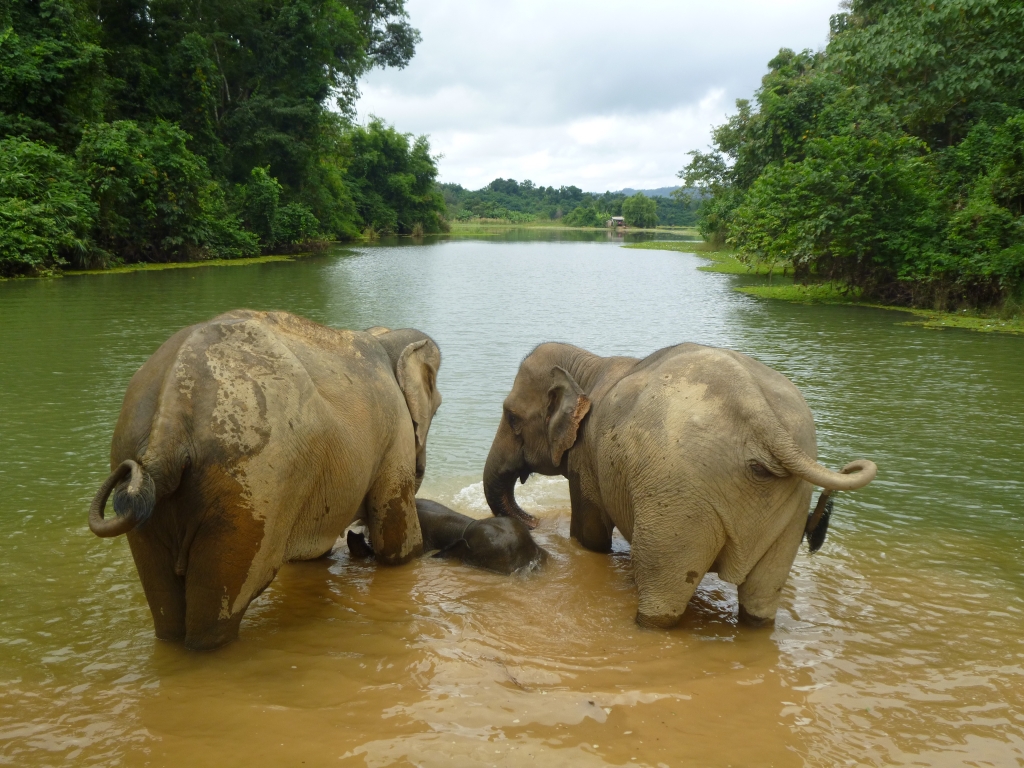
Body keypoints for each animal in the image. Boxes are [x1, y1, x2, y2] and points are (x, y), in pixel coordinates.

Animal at [88, 309, 440, 651]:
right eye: (437, 406)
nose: (422, 468)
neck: (384, 338)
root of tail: (170, 418)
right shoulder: (395, 433)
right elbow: (397, 545)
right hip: (255, 487)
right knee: (222, 607)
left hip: (141, 467)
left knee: (165, 603)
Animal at [483, 342, 876, 630]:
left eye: (511, 417)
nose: (535, 521)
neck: (589, 364)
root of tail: (759, 413)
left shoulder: (586, 463)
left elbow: (590, 537)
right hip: (791, 506)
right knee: (764, 591)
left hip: (678, 503)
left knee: (661, 585)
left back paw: (648, 625)